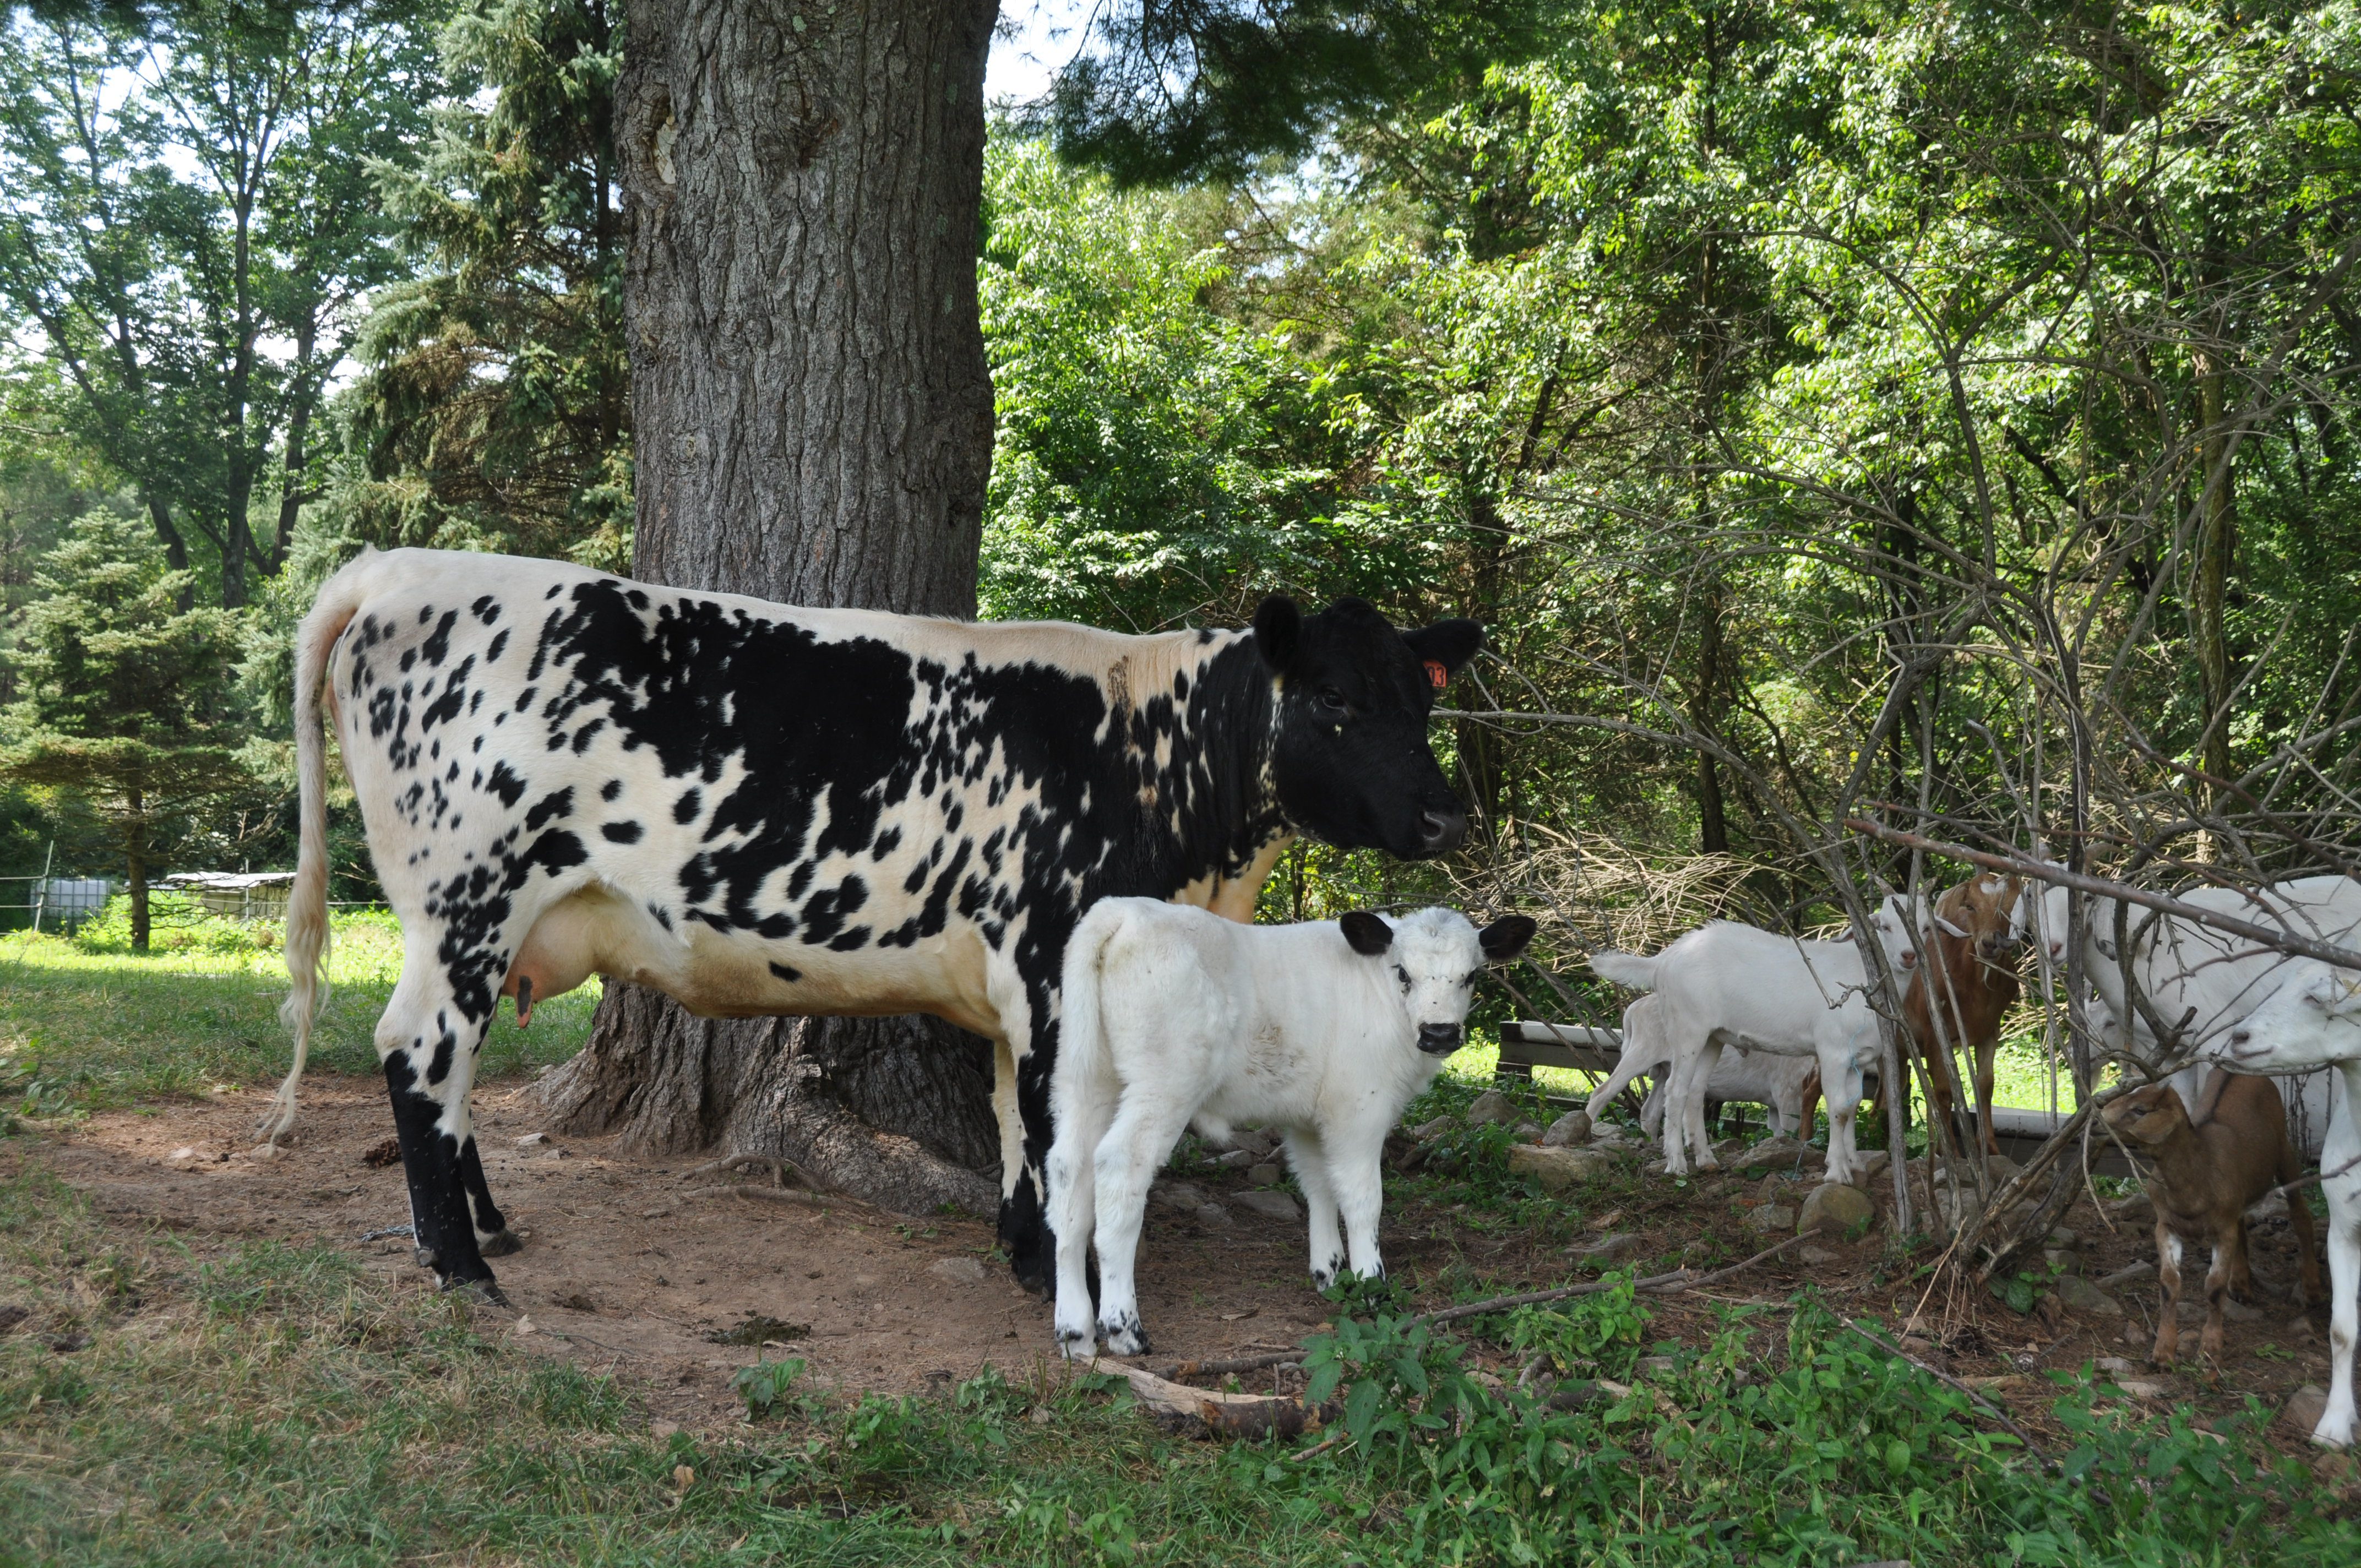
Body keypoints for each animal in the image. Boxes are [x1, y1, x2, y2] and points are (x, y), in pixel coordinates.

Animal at [271, 550, 1473, 1294]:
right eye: (1332, 699)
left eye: (1422, 697)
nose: (1444, 809)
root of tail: (399, 567)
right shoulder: (1050, 960)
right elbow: (1056, 1124)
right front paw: (1061, 1266)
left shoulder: (1014, 983)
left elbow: (1014, 1116)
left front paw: (1022, 1245)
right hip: (464, 900)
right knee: (419, 1050)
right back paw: (459, 1264)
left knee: (450, 1072)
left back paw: (484, 1226)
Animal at [1048, 902, 1530, 1351]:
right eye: (1403, 973)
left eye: (1470, 975)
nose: (1439, 1034)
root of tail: (1125, 909)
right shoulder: (1360, 1109)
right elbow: (1363, 1199)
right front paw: (1372, 1286)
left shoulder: (1308, 1117)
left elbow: (1318, 1184)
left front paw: (1329, 1273)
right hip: (1165, 1085)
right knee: (1118, 1168)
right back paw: (1124, 1328)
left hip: (1087, 1078)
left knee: (1069, 1172)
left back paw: (1075, 1328)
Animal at [2106, 1072, 2323, 1369]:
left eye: (2140, 1109)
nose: (2102, 1114)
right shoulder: (2166, 1226)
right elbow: (2169, 1284)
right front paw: (2163, 1353)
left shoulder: (2222, 1230)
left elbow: (2214, 1287)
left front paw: (2209, 1351)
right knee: (2243, 1223)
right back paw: (2241, 1286)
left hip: (2284, 1148)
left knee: (2300, 1213)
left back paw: (2311, 1290)